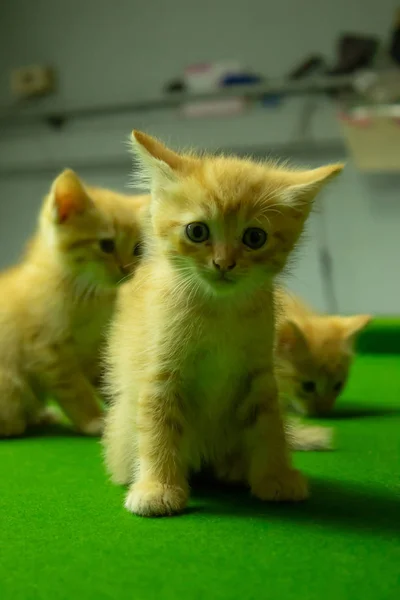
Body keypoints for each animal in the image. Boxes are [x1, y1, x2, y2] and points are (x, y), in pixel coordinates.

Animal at [0, 169, 148, 436]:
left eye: (138, 249)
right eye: (106, 245)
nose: (127, 269)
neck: (89, 295)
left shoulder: (95, 348)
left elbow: (106, 379)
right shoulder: (48, 351)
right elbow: (76, 390)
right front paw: (94, 419)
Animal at [101, 131, 342, 516]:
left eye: (254, 237)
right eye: (197, 231)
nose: (223, 263)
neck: (218, 310)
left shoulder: (259, 374)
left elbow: (269, 426)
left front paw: (276, 476)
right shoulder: (160, 373)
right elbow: (158, 428)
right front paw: (157, 488)